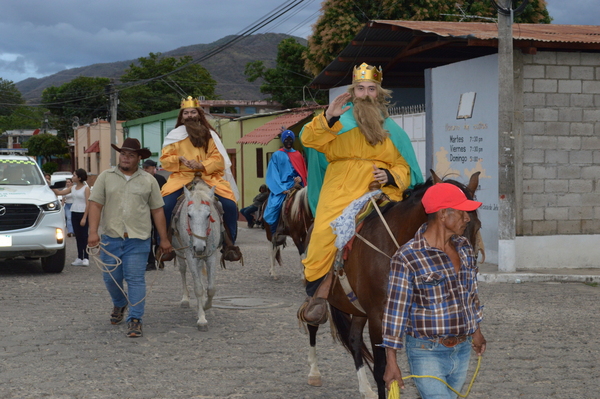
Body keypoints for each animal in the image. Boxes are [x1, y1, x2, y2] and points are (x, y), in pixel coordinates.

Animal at [171, 180, 223, 332]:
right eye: (189, 215)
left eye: (208, 215)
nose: (199, 247)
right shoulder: (190, 256)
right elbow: (198, 288)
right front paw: (202, 319)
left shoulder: (211, 256)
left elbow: (211, 288)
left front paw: (206, 305)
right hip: (179, 251)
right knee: (182, 271)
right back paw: (185, 299)